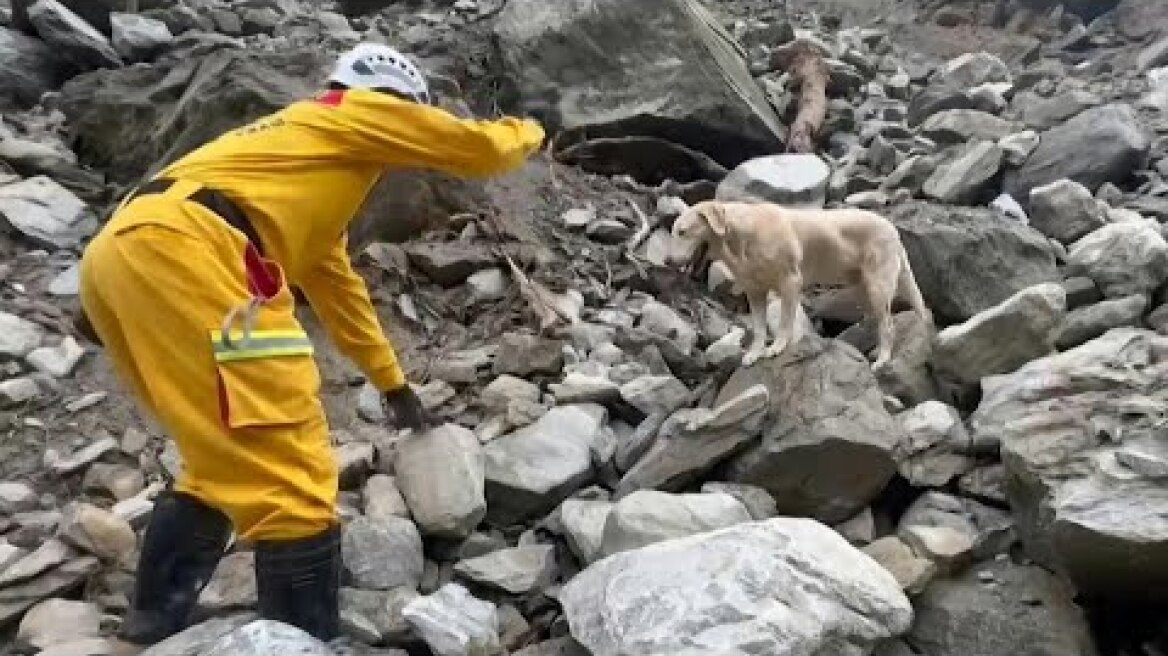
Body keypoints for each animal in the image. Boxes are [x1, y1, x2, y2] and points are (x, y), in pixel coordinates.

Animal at [677, 199, 929, 368]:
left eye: (682, 231)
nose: (669, 261)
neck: (741, 237)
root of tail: (892, 228)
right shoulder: (755, 292)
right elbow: (758, 328)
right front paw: (755, 353)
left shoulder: (790, 283)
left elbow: (785, 321)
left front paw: (777, 347)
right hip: (865, 287)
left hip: (878, 287)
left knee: (888, 325)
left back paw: (883, 359)